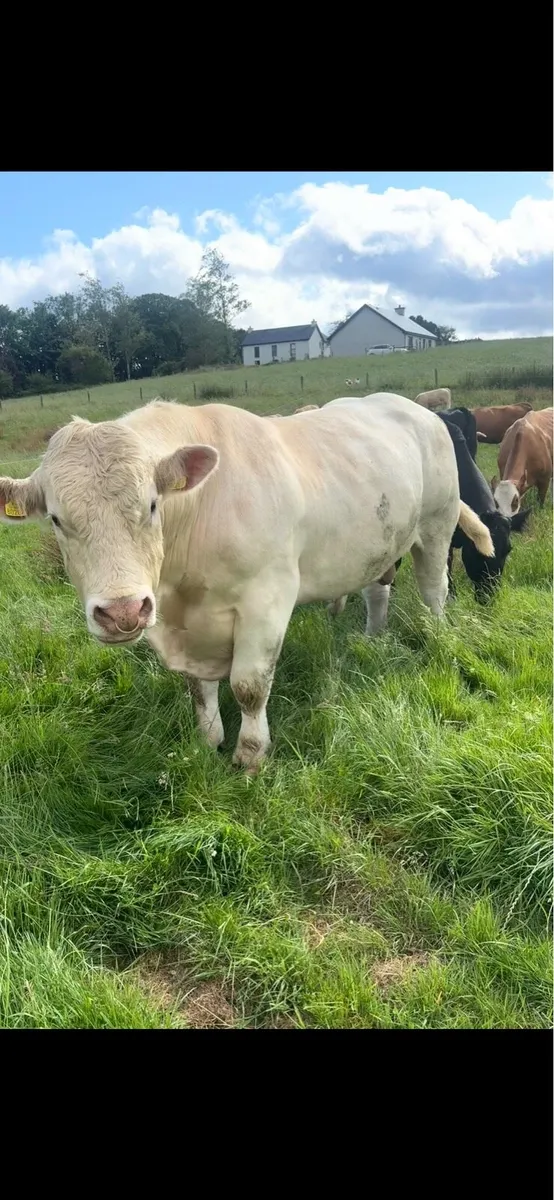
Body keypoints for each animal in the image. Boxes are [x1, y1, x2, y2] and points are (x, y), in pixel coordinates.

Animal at [0, 394, 493, 773]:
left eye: (153, 505)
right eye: (57, 520)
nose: (123, 611)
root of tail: (417, 408)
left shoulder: (267, 600)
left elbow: (249, 686)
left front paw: (250, 755)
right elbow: (199, 687)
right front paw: (208, 740)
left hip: (436, 525)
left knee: (434, 589)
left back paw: (437, 637)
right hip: (378, 543)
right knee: (377, 588)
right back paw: (371, 640)